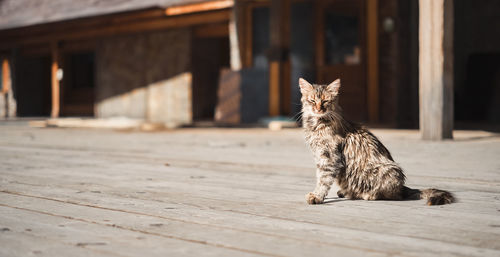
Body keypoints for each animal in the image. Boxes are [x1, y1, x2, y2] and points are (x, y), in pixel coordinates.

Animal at [298, 77, 456, 205]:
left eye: (325, 101)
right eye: (312, 101)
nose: (318, 109)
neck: (317, 124)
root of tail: (402, 187)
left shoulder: (329, 157)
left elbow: (323, 180)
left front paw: (317, 196)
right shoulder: (320, 157)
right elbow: (320, 177)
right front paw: (317, 194)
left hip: (388, 171)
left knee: (393, 195)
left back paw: (363, 194)